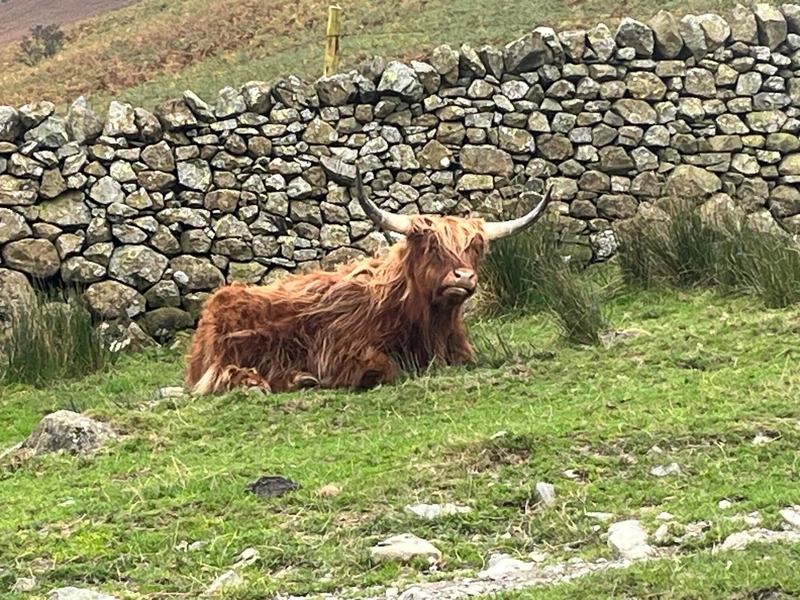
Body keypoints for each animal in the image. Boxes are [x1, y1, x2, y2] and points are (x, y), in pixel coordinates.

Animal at [184, 166, 552, 396]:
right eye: (432, 245)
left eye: (475, 248)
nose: (463, 276)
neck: (426, 323)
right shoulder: (342, 351)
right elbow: (385, 368)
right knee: (221, 377)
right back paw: (265, 381)